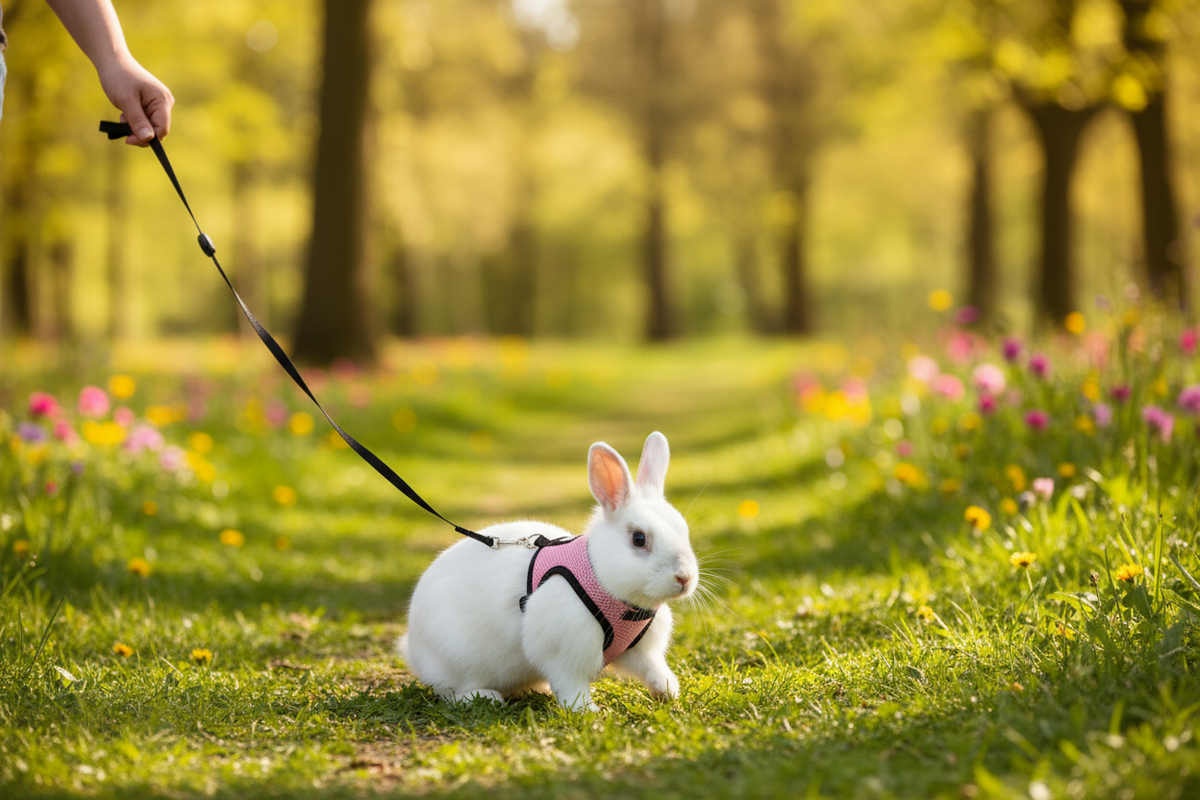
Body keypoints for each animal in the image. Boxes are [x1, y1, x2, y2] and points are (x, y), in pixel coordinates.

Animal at [400, 431, 697, 711]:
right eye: (638, 539)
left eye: (684, 529)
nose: (685, 578)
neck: (602, 581)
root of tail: (412, 648)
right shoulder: (565, 652)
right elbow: (571, 682)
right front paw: (587, 711)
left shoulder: (642, 651)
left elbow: (651, 667)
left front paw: (668, 690)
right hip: (456, 660)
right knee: (448, 692)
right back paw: (486, 697)